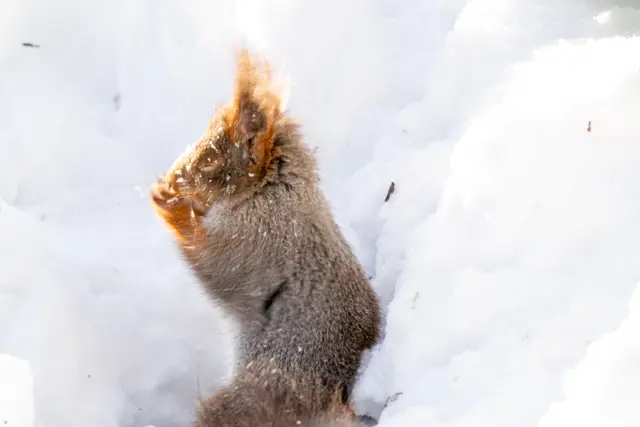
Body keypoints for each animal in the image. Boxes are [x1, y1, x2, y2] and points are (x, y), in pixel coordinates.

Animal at [150, 49, 381, 426]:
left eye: (210, 161)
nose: (172, 179)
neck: (271, 190)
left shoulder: (259, 238)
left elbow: (217, 263)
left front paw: (170, 205)